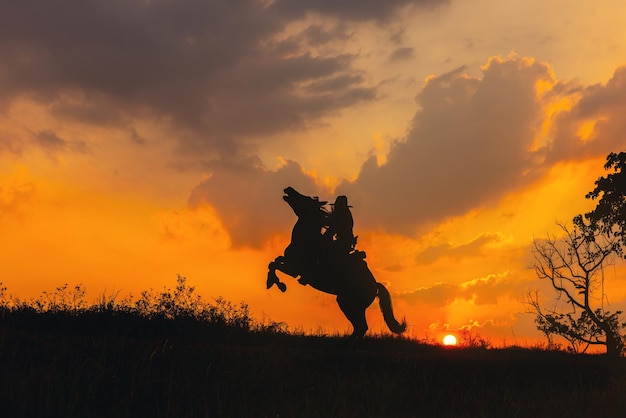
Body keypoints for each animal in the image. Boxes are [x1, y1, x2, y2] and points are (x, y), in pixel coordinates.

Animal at [264, 188, 404, 338]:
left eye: (306, 199)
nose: (288, 189)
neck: (306, 239)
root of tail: (375, 285)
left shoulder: (294, 269)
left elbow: (274, 264)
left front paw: (278, 284)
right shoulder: (290, 264)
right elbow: (275, 261)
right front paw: (273, 282)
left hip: (348, 303)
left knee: (361, 327)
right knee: (360, 327)